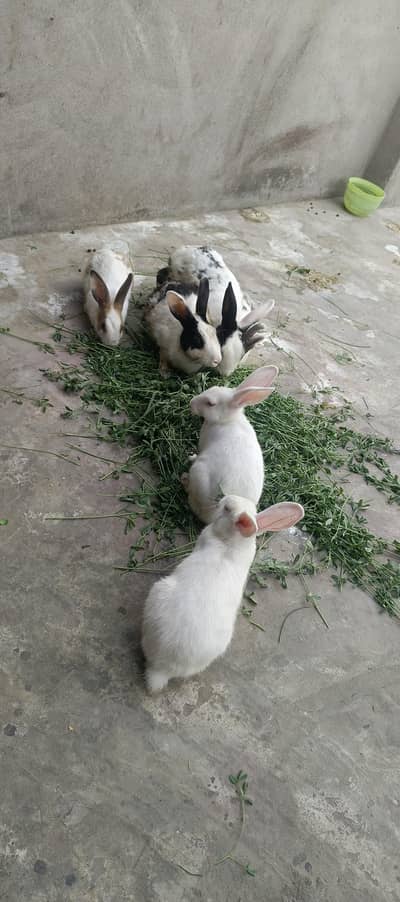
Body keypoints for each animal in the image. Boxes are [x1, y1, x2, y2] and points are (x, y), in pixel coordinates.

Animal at [182, 364, 278, 524]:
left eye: (211, 403)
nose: (191, 403)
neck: (226, 420)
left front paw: (191, 457)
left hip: (199, 472)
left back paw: (184, 479)